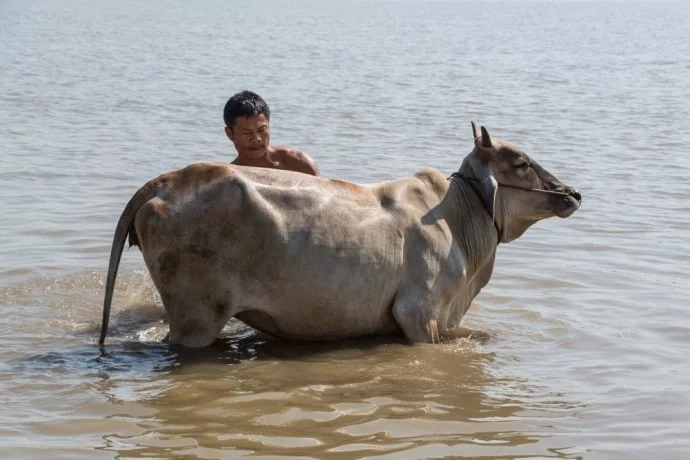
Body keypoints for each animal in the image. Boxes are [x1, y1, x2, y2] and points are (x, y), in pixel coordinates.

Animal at [99, 123, 581, 348]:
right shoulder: (418, 314)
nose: (571, 193)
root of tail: (165, 183)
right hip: (196, 319)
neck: (459, 218)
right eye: (520, 162)